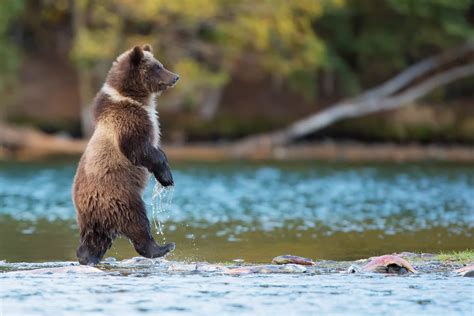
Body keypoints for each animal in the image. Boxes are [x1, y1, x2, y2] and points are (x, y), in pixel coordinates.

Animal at [73, 44, 179, 266]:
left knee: (94, 238)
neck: (133, 98)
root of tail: (88, 203)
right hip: (119, 195)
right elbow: (140, 149)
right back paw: (162, 247)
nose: (175, 77)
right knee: (137, 222)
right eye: (158, 67)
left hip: (92, 218)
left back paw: (88, 257)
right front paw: (166, 177)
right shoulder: (127, 121)